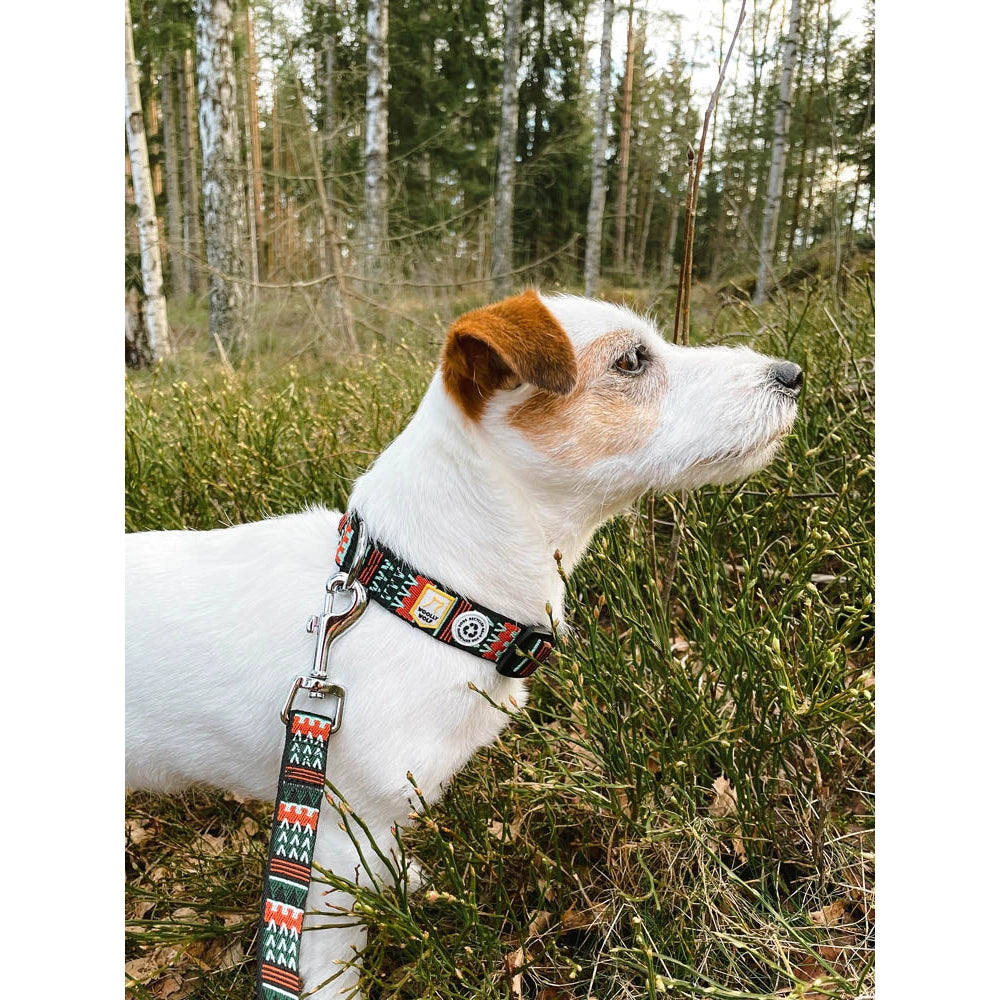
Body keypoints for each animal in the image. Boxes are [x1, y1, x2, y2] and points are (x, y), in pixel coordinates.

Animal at [125, 290, 800, 992]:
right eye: (632, 360)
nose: (792, 374)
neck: (423, 595)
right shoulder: (343, 830)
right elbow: (334, 954)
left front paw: (404, 882)